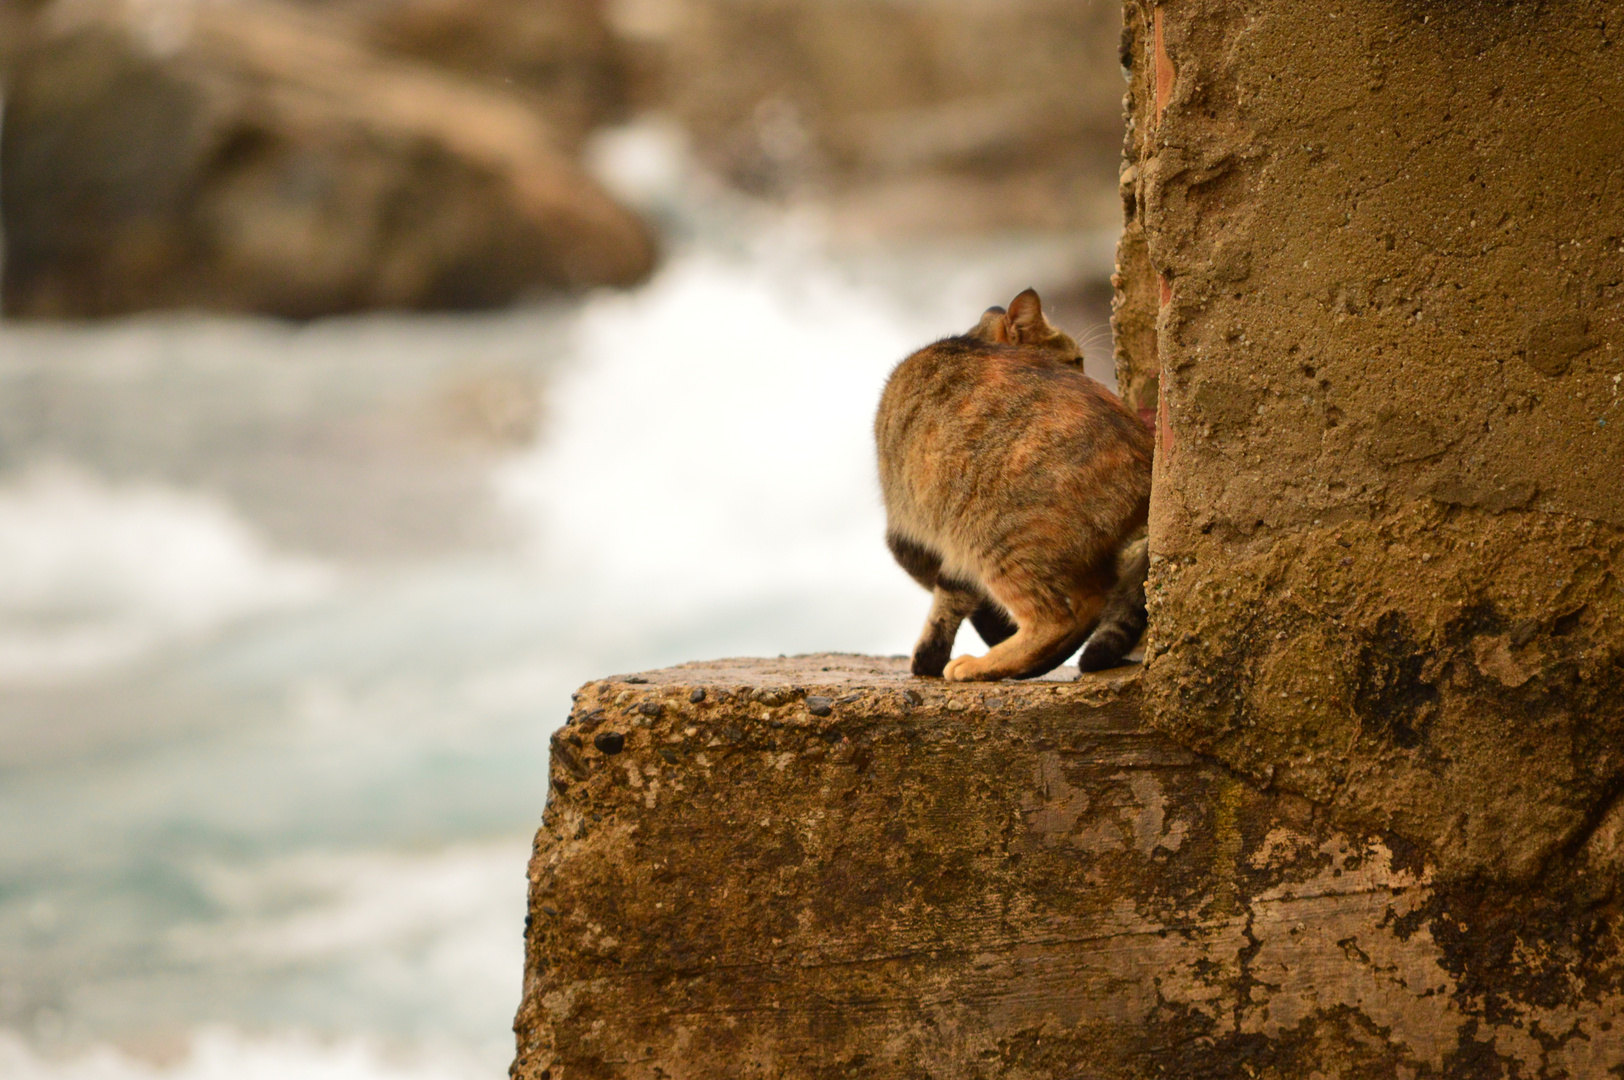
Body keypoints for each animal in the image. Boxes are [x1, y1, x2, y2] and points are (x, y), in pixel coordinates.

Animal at [876, 285, 1156, 675]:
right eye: (1075, 361)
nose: (1096, 378)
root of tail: (1148, 451)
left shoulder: (909, 536)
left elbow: (948, 599)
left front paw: (929, 657)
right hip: (1079, 550)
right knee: (1095, 599)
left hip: (992, 539)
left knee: (1054, 620)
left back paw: (980, 665)